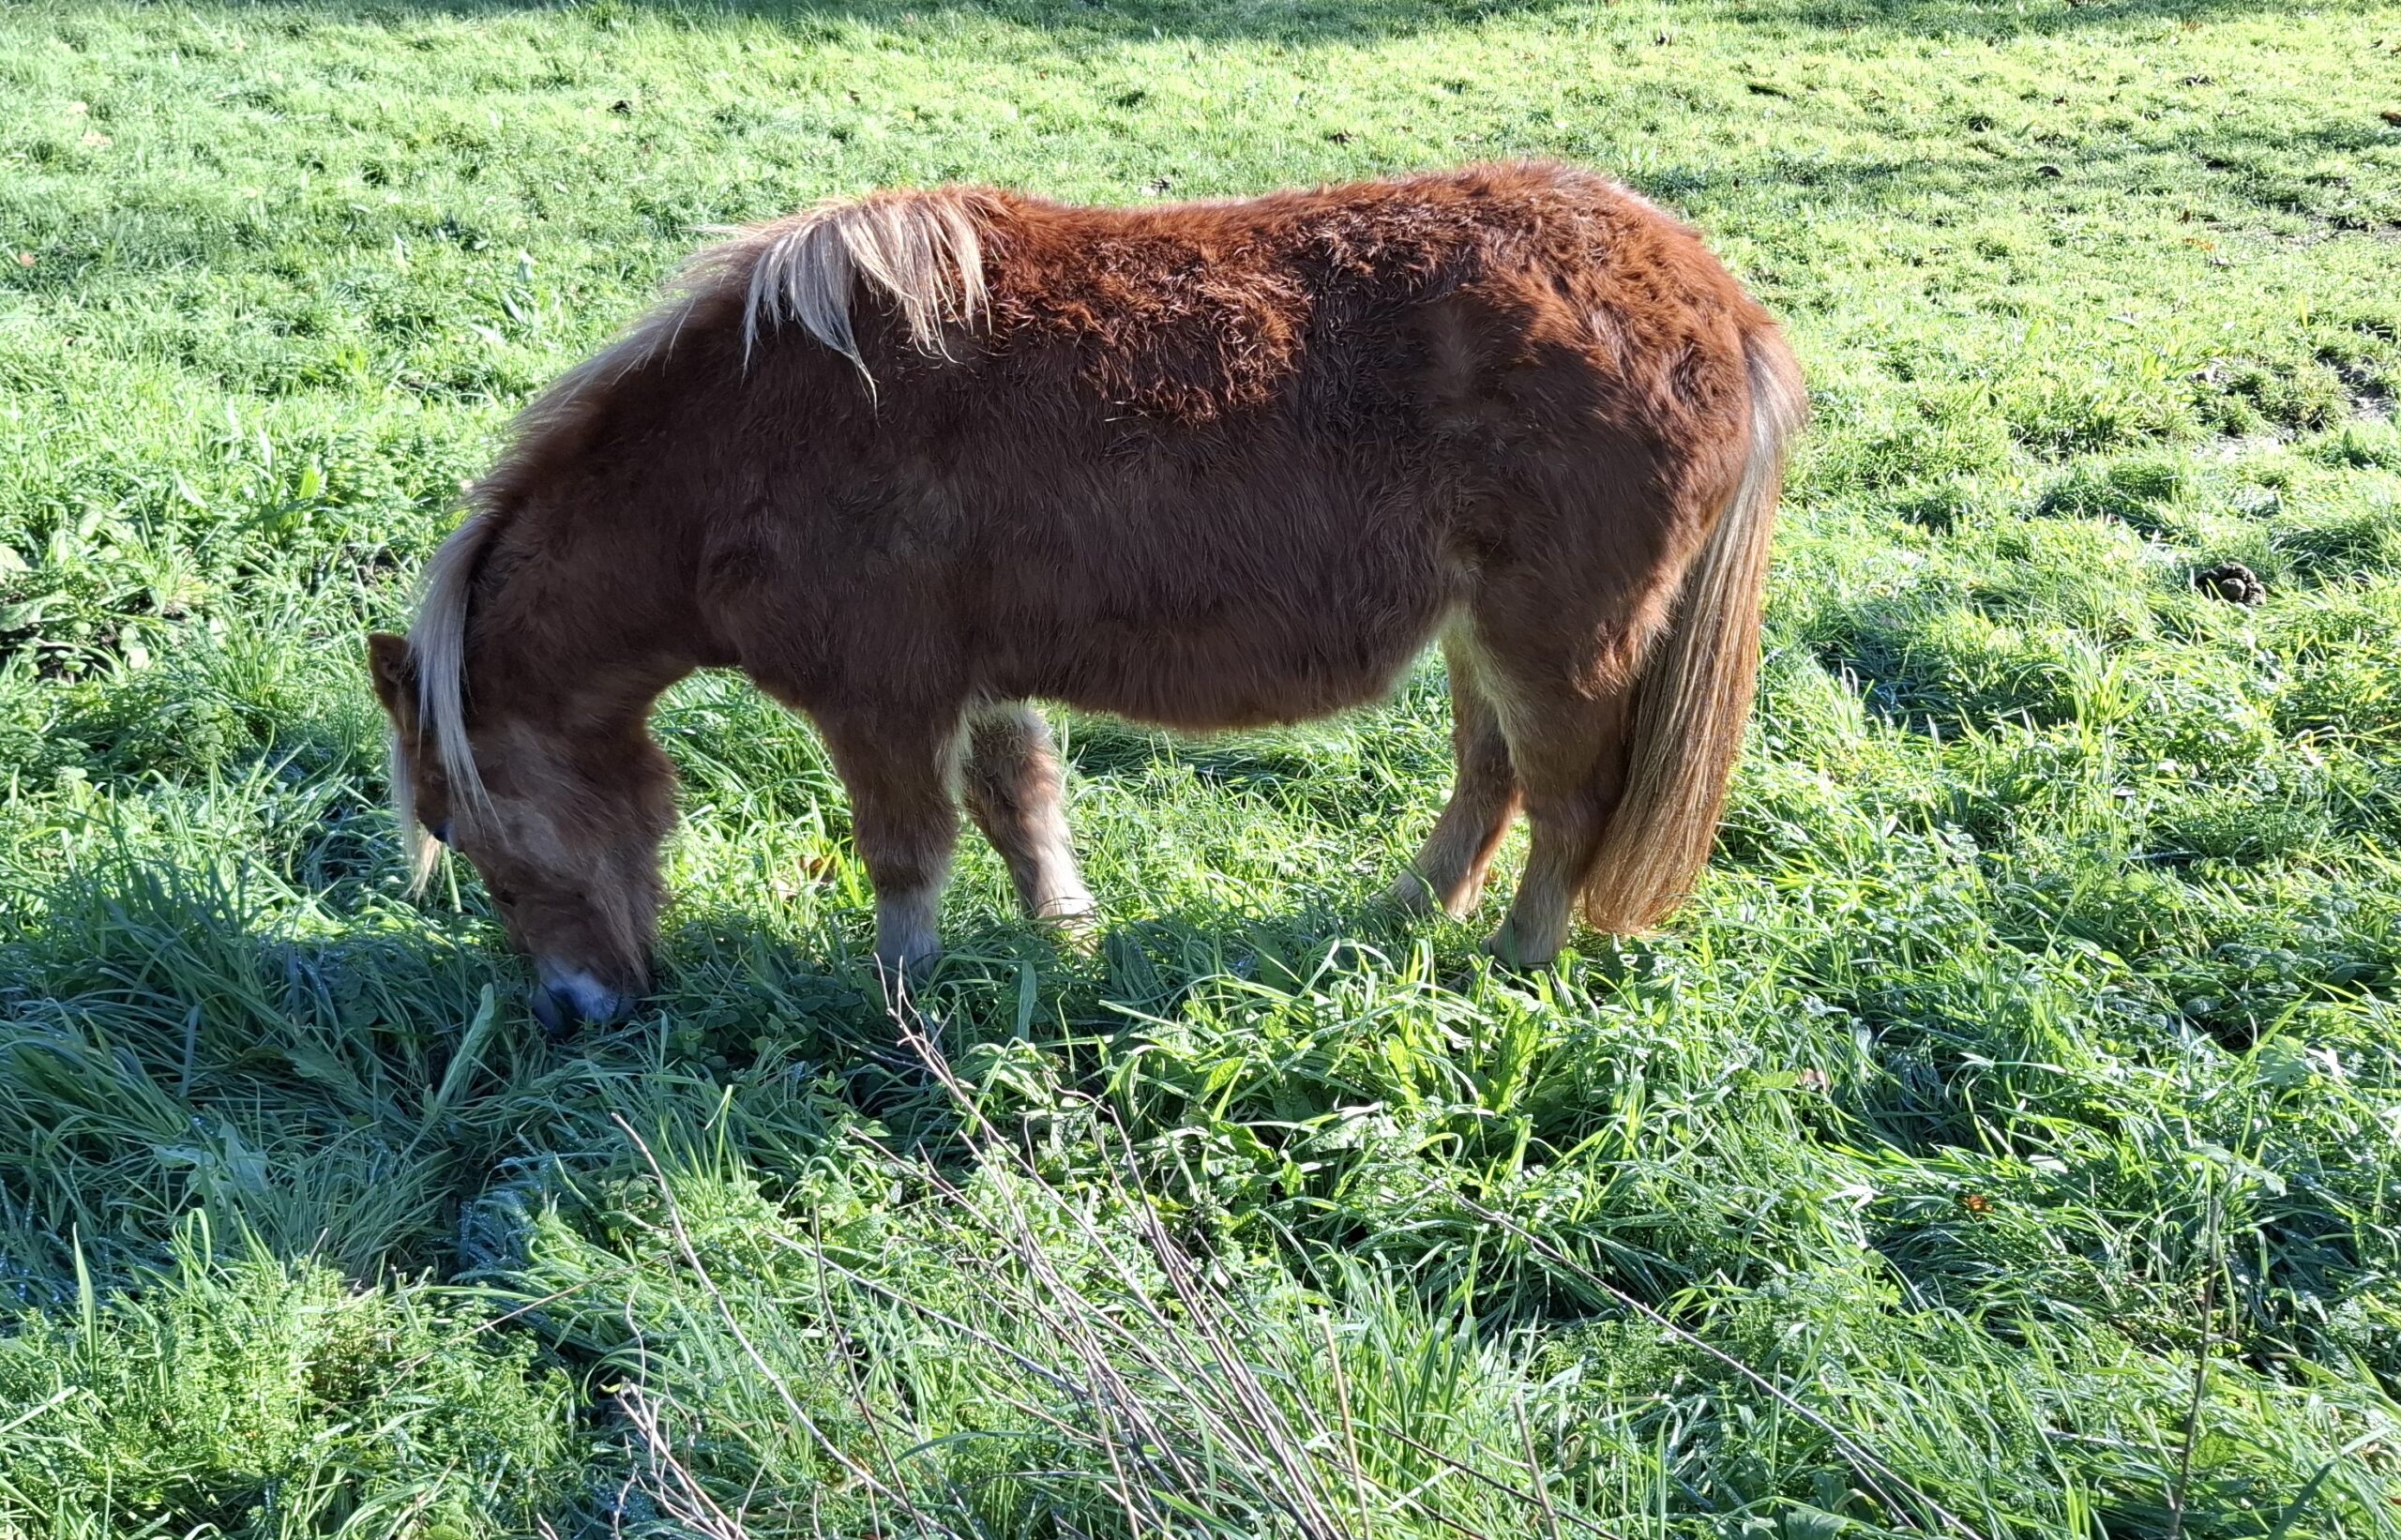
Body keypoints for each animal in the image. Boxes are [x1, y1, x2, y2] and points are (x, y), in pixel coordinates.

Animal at [370, 161, 1805, 1028]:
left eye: (480, 843)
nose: (575, 1011)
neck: (747, 438)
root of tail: (1712, 299)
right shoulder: (977, 681)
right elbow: (1019, 808)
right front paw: (1059, 938)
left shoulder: (881, 700)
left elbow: (907, 851)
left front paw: (902, 1001)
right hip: (1480, 638)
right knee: (1491, 778)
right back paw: (1401, 913)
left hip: (1559, 638)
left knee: (1569, 801)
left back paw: (1516, 963)